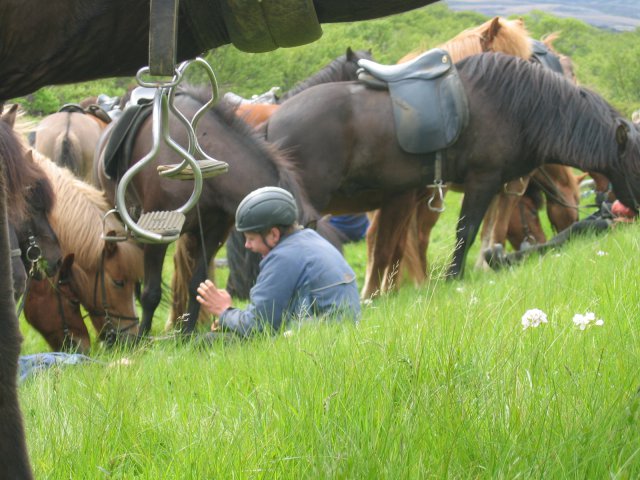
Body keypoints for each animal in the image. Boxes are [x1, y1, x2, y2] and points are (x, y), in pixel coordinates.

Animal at [96, 91, 324, 338]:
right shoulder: (157, 236)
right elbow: (151, 292)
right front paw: (142, 338)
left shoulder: (214, 235)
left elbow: (196, 285)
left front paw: (186, 334)